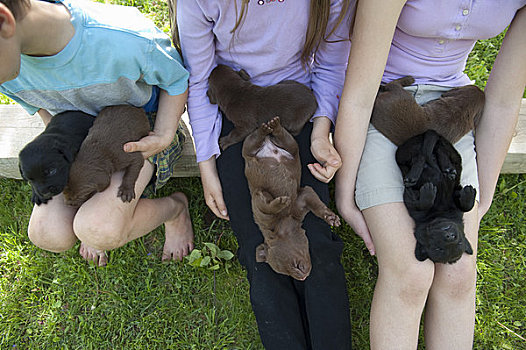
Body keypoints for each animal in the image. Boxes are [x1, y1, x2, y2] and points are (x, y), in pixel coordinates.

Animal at [244, 117, 342, 282]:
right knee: (272, 136)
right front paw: (330, 217)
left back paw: (270, 126)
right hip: (286, 145)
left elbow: (267, 207)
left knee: (260, 137)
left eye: (294, 266)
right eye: (287, 273)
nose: (302, 278)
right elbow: (316, 205)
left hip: (272, 148)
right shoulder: (304, 196)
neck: (285, 220)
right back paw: (272, 126)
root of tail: (268, 145)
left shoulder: (263, 205)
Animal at [396, 130, 478, 264]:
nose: (450, 236)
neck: (439, 214)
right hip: (403, 153)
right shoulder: (410, 201)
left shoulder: (454, 198)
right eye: (438, 249)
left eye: (459, 242)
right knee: (425, 154)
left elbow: (465, 206)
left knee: (431, 152)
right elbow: (421, 204)